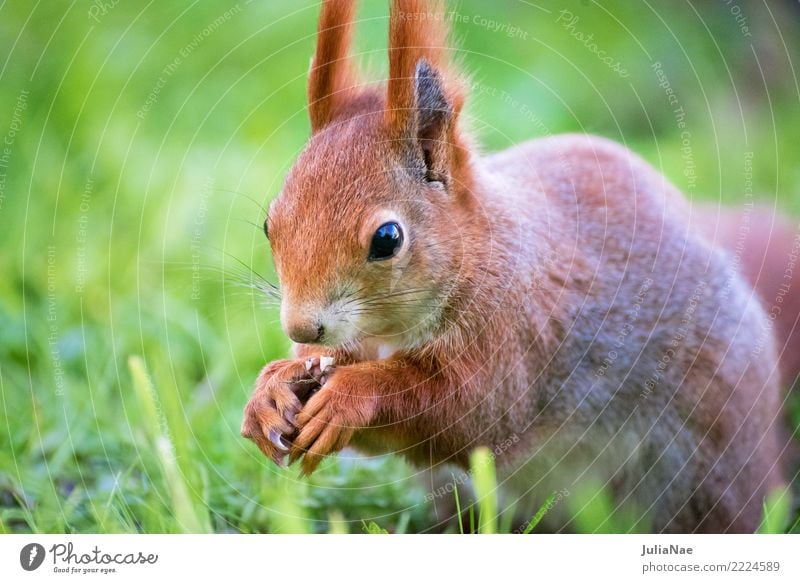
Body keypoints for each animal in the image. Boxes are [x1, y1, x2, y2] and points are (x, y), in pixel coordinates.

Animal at [241, 0, 796, 532]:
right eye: (270, 224)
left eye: (387, 238)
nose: (301, 326)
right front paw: (271, 389)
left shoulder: (515, 332)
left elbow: (470, 414)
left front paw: (350, 395)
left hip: (704, 466)